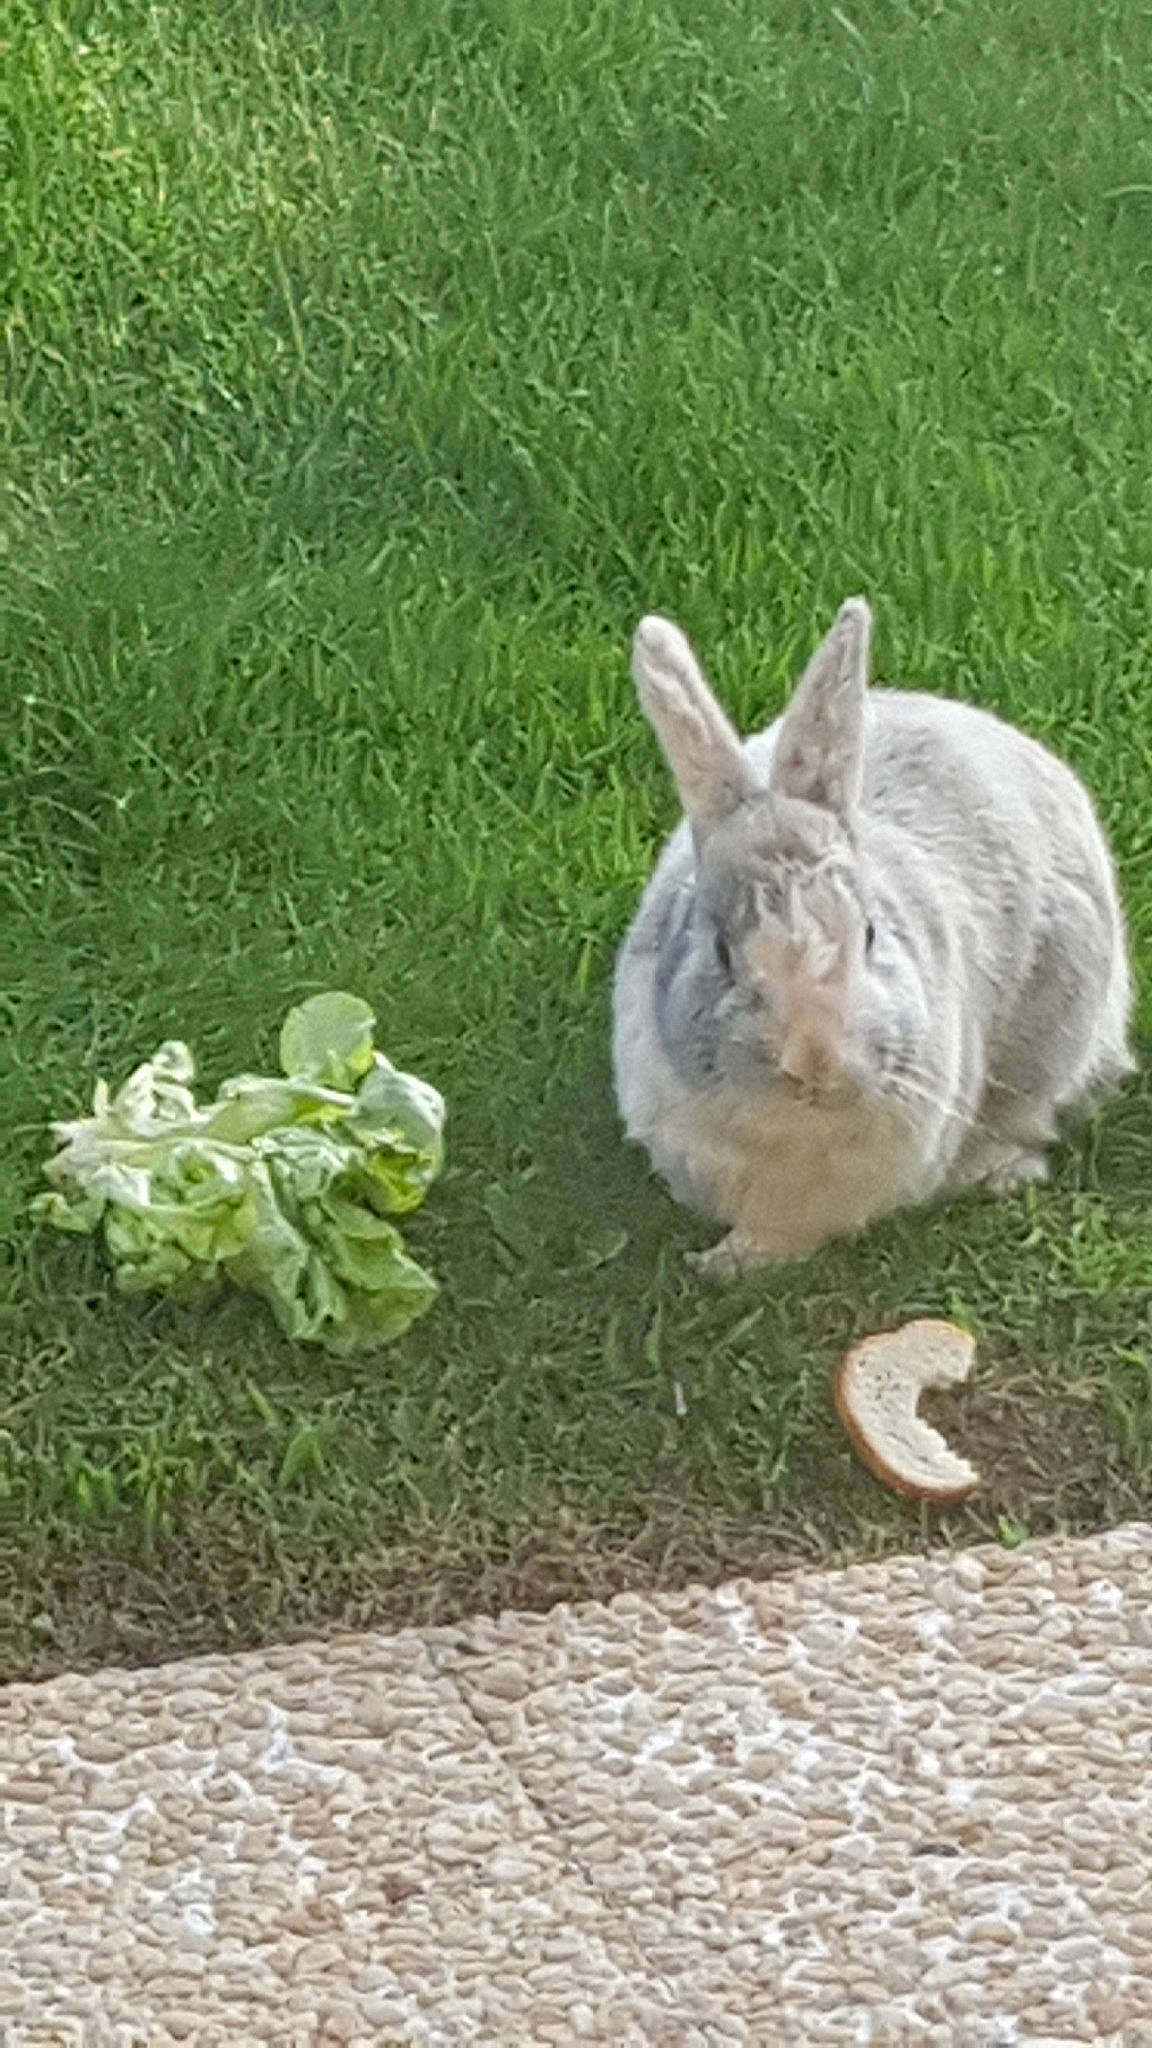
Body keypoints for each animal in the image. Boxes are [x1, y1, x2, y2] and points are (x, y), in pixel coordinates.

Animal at [613, 598, 1133, 1279]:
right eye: (723, 953)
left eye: (869, 933)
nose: (814, 1062)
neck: (793, 1127)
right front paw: (723, 1264)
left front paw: (730, 1263)